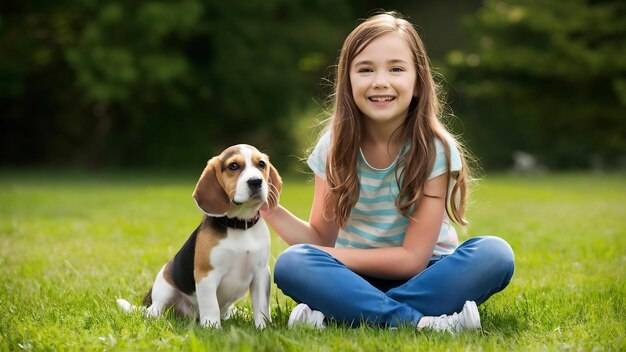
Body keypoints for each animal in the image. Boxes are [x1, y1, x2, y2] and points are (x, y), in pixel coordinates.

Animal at [116, 144, 280, 328]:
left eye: (261, 164)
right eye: (233, 166)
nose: (256, 181)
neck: (240, 225)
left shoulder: (261, 273)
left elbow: (261, 306)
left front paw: (263, 328)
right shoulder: (206, 274)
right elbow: (211, 305)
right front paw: (212, 328)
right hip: (164, 287)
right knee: (153, 310)